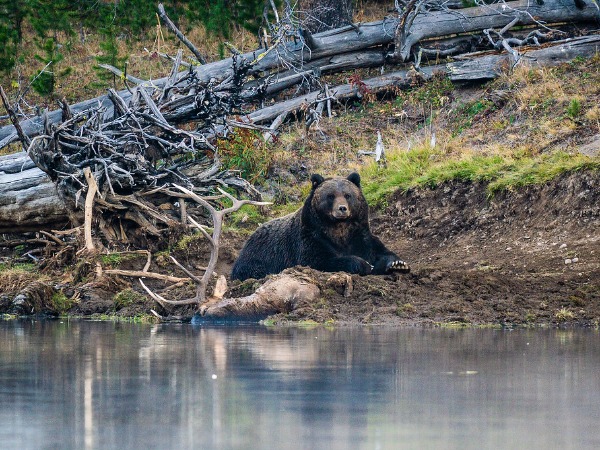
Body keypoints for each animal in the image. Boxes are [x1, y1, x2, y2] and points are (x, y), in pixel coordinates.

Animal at [230, 172, 408, 282]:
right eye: (331, 195)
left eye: (348, 195)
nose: (342, 208)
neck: (338, 229)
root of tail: (249, 238)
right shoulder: (310, 238)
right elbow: (319, 260)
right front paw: (362, 264)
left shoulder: (360, 235)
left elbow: (380, 251)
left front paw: (398, 264)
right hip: (259, 256)